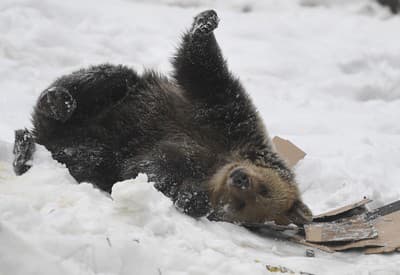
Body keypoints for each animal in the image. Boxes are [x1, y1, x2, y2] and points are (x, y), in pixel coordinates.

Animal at [12, 10, 312, 226]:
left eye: (243, 204)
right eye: (265, 189)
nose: (240, 179)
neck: (217, 163)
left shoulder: (183, 166)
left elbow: (155, 175)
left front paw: (191, 198)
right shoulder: (227, 119)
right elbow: (203, 71)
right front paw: (205, 23)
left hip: (91, 149)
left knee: (86, 156)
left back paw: (28, 149)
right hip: (115, 96)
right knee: (108, 79)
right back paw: (57, 103)